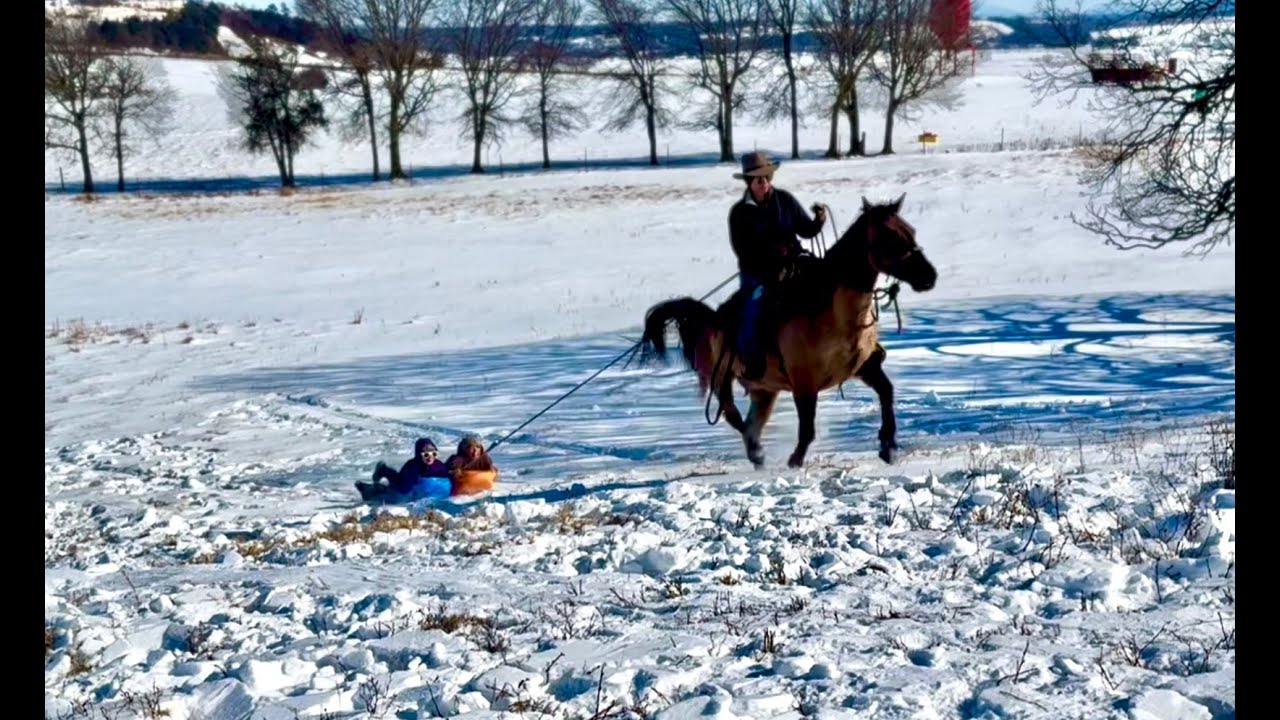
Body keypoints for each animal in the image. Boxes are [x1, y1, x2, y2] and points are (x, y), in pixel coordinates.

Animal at [639, 194, 937, 469]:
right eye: (890, 236)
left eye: (910, 231)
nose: (929, 277)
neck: (835, 315)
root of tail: (713, 318)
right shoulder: (804, 383)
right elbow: (807, 427)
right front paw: (795, 460)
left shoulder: (865, 366)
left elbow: (887, 392)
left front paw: (888, 447)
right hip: (722, 378)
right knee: (732, 414)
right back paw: (756, 451)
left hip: (764, 389)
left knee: (751, 420)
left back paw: (757, 453)